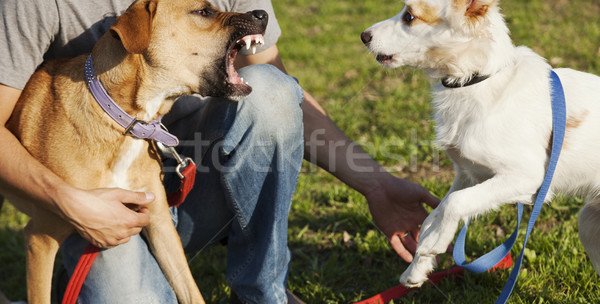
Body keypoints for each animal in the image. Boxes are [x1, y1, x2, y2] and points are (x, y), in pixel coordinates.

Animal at [360, 0, 600, 288]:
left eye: (409, 17)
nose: (363, 36)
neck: (475, 81)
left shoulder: (528, 176)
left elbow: (455, 203)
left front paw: (435, 243)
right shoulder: (468, 174)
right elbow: (436, 213)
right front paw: (418, 267)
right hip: (589, 224)